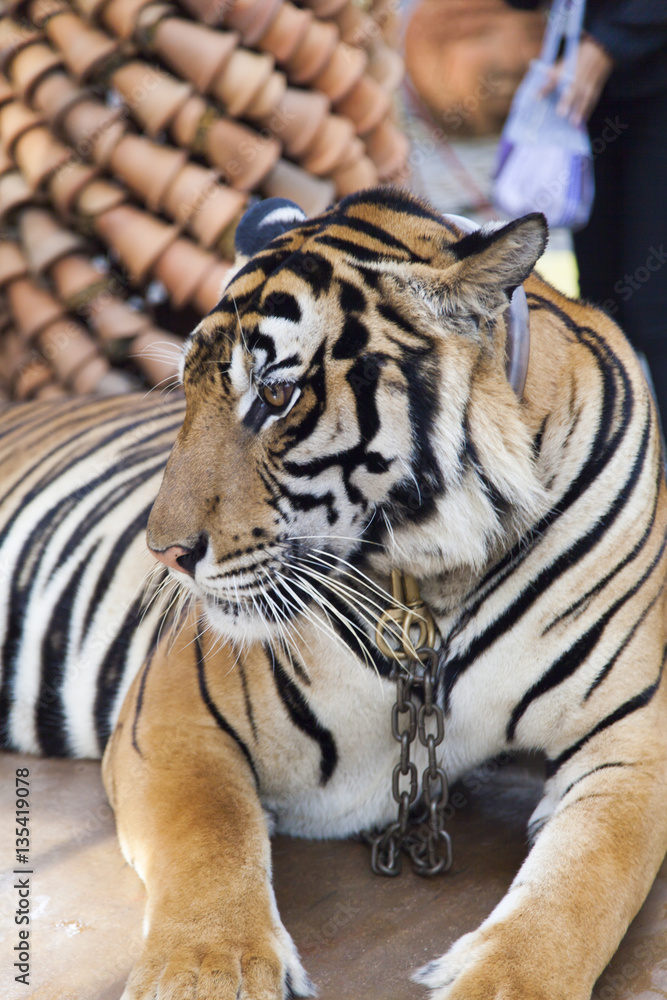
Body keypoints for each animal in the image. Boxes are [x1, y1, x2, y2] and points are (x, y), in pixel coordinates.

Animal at [1, 186, 667, 1000]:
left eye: (277, 395)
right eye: (186, 391)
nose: (164, 553)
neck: (435, 579)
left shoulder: (631, 737)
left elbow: (581, 886)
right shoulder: (176, 710)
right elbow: (209, 838)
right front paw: (207, 971)